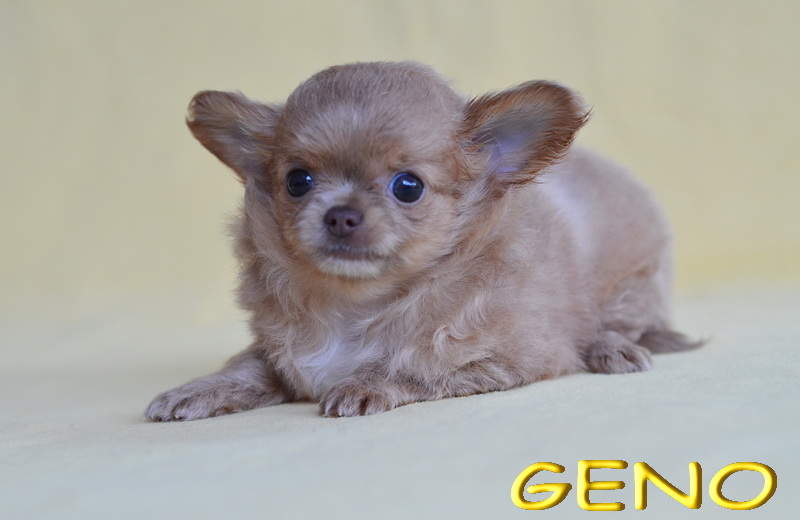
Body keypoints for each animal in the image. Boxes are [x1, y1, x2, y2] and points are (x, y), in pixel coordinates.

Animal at [145, 61, 700, 420]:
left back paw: (614, 351)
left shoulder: (506, 360)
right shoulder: (278, 352)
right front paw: (195, 391)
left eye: (407, 187)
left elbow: (418, 369)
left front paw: (365, 384)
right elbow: (245, 366)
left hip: (630, 290)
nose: (341, 215)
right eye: (297, 181)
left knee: (621, 328)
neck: (354, 306)